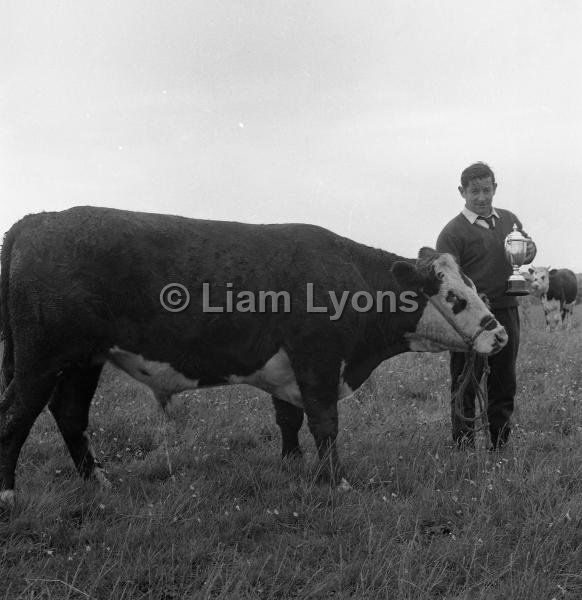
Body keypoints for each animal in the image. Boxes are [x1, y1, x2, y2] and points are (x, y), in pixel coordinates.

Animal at [0, 206, 512, 506]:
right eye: (455, 297)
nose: (500, 335)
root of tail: (35, 221)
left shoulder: (286, 372)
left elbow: (289, 419)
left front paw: (293, 465)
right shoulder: (317, 360)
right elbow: (325, 422)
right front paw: (335, 480)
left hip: (83, 360)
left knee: (69, 413)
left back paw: (96, 481)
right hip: (40, 359)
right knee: (16, 415)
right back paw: (8, 494)